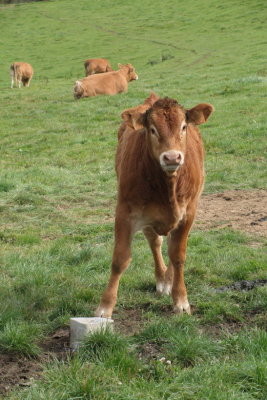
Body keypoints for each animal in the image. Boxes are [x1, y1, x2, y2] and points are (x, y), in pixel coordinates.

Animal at [96, 95, 216, 318]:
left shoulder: (188, 214)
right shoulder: (125, 212)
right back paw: (162, 280)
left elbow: (178, 256)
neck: (167, 184)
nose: (172, 157)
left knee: (170, 246)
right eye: (152, 129)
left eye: (183, 126)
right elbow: (120, 259)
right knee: (156, 242)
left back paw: (168, 280)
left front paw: (181, 300)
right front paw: (105, 307)